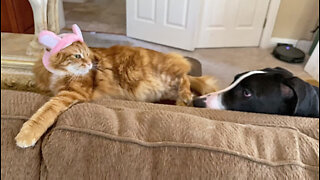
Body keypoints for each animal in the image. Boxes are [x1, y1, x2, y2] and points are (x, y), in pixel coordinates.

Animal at [14, 42, 215, 148]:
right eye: (78, 56)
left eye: (88, 55)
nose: (91, 64)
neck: (56, 72)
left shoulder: (70, 93)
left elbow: (43, 113)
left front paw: (26, 135)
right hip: (166, 87)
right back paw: (183, 103)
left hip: (168, 74)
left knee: (185, 77)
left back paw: (186, 96)